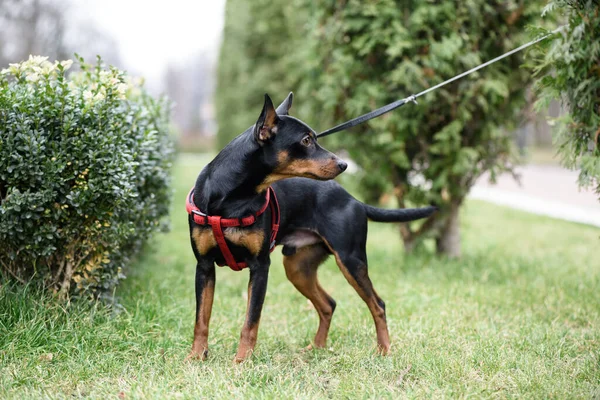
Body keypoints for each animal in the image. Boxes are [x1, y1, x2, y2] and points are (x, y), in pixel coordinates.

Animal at [186, 94, 436, 362]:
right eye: (306, 140)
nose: (344, 164)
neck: (232, 195)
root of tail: (355, 201)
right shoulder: (204, 266)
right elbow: (201, 318)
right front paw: (196, 356)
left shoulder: (260, 266)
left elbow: (250, 322)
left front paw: (242, 360)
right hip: (298, 268)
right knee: (329, 304)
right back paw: (317, 347)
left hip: (350, 260)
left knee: (377, 305)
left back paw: (384, 350)